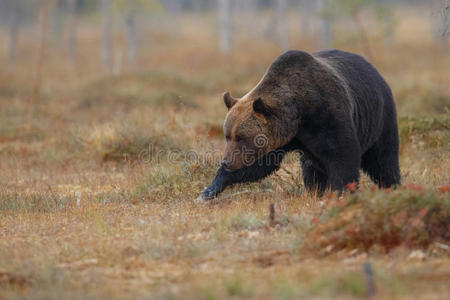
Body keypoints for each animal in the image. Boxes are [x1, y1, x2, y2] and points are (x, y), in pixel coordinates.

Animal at [197, 50, 400, 203]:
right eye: (227, 136)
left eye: (241, 137)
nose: (226, 161)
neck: (299, 116)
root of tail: (374, 69)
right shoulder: (279, 139)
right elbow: (259, 165)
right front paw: (208, 191)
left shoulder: (327, 115)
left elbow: (343, 155)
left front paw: (342, 193)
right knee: (312, 168)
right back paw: (314, 190)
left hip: (380, 117)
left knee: (384, 159)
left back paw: (393, 186)